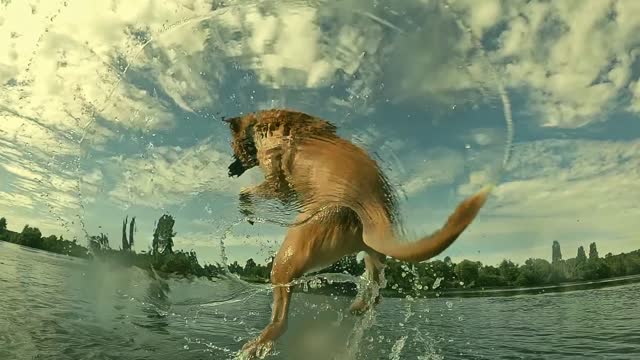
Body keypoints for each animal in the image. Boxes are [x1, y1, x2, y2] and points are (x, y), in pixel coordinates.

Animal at [225, 107, 490, 358]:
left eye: (233, 147)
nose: (229, 169)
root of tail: (372, 209)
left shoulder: (277, 181)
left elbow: (249, 191)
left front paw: (246, 207)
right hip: (372, 254)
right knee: (376, 290)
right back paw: (360, 305)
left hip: (290, 253)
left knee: (281, 318)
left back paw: (257, 344)